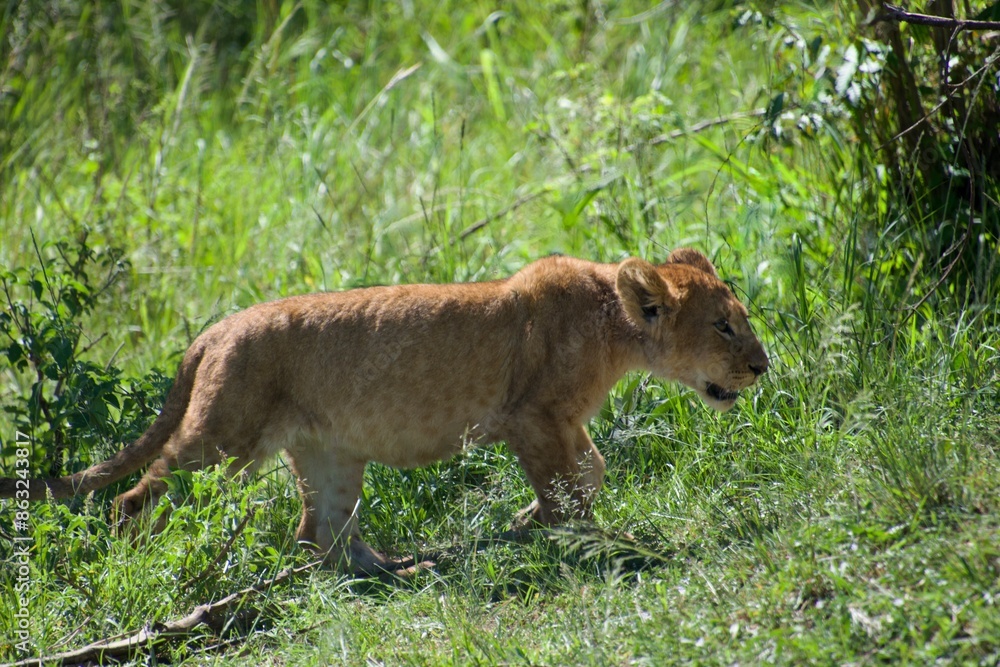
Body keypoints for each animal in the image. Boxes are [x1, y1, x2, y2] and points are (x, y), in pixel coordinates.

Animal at [0, 248, 768, 576]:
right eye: (725, 326)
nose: (763, 366)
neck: (613, 324)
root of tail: (214, 330)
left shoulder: (563, 421)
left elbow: (594, 469)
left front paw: (532, 522)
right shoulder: (532, 417)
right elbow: (569, 489)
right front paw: (584, 539)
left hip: (330, 453)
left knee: (321, 534)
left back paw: (397, 569)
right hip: (222, 435)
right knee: (136, 498)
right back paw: (139, 569)